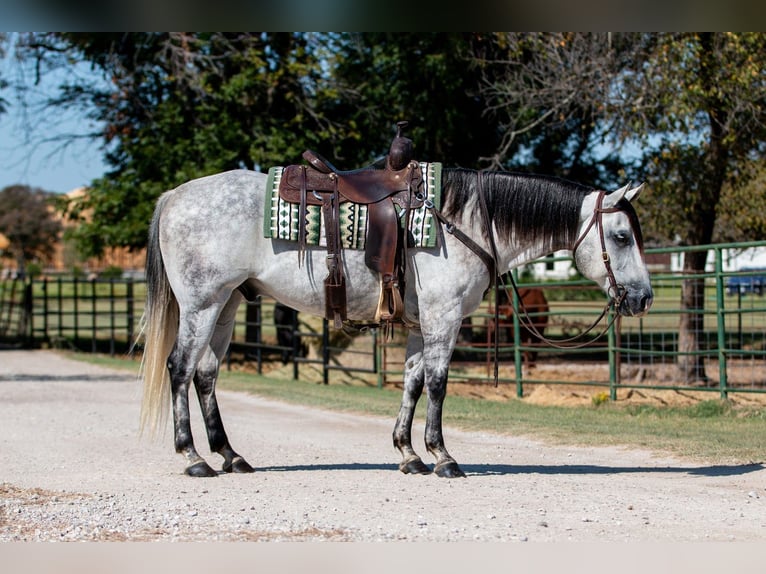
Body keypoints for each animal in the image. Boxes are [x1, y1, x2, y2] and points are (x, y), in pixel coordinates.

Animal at [140, 169, 656, 480]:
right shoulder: (443, 318)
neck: (464, 222)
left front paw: (408, 454)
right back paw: (193, 458)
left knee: (206, 375)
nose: (643, 297)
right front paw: (443, 457)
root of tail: (174, 195)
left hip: (225, 306)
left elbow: (411, 382)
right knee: (180, 369)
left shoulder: (420, 326)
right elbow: (439, 383)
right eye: (621, 236)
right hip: (202, 305)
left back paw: (230, 455)